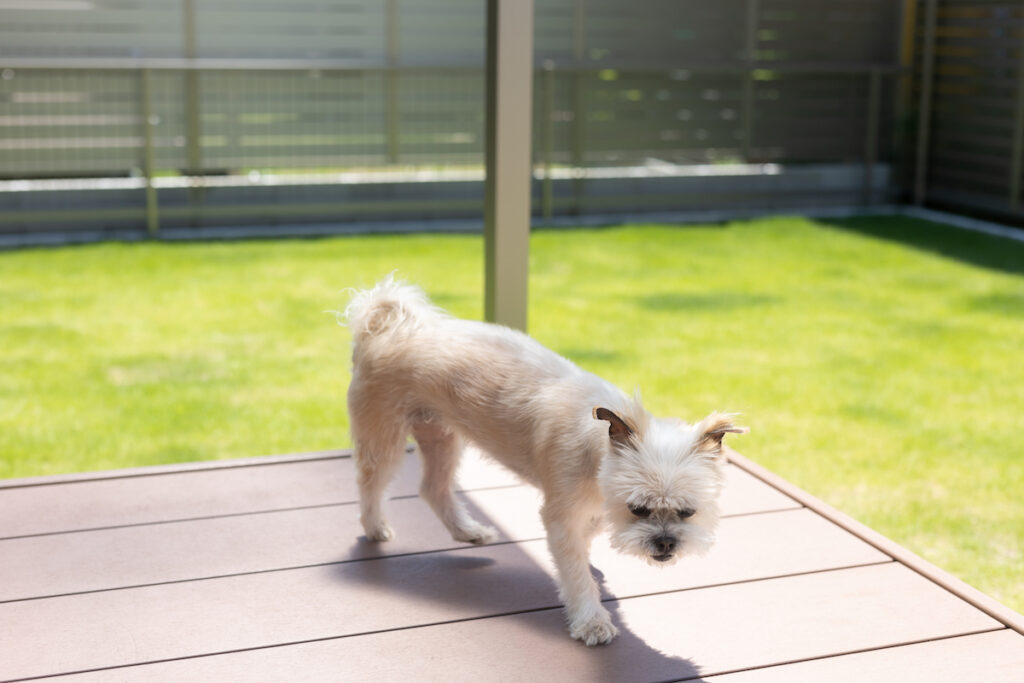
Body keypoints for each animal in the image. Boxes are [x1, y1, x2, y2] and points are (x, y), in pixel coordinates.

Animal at [344, 274, 745, 643]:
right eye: (638, 509)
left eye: (688, 511)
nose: (665, 544)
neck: (596, 446)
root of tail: (387, 329)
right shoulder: (561, 517)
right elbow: (576, 574)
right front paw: (591, 620)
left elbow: (585, 542)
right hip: (385, 438)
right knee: (370, 483)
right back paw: (375, 527)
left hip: (442, 437)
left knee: (433, 488)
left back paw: (467, 530)